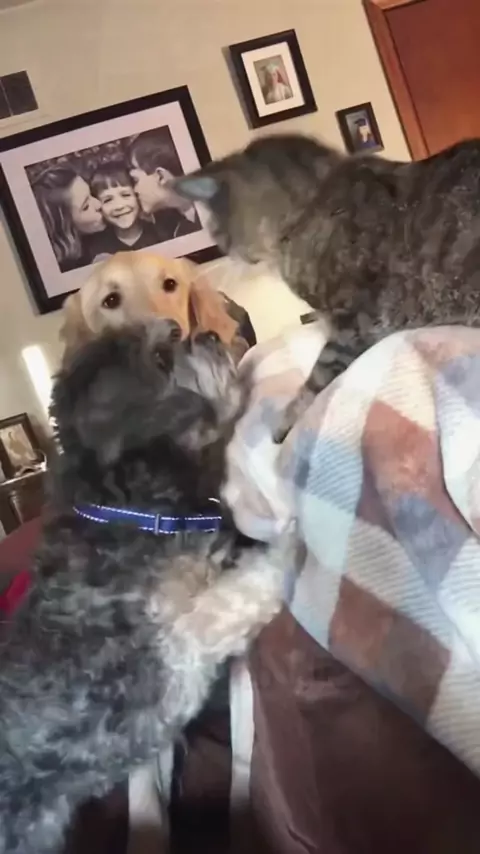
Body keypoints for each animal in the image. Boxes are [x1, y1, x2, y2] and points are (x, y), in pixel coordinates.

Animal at [0, 320, 285, 854]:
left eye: (174, 331)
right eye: (159, 359)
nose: (209, 333)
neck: (131, 511)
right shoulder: (172, 658)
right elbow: (242, 590)